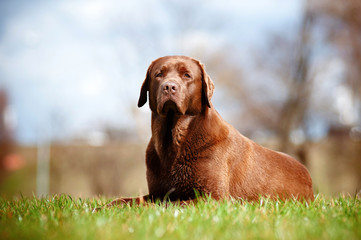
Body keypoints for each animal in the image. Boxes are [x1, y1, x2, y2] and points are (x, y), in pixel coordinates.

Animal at [104, 55, 312, 209]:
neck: (173, 139)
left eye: (187, 75)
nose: (169, 87)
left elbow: (166, 205)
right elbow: (126, 200)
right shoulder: (157, 192)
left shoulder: (214, 197)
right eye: (159, 74)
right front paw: (103, 207)